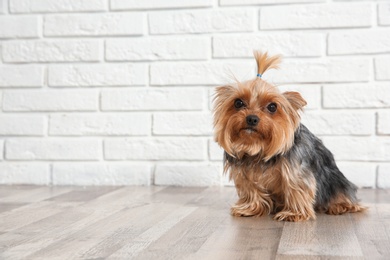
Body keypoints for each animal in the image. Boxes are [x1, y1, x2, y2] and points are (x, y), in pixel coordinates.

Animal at [213, 51, 366, 221]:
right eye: (238, 103)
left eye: (272, 107)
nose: (252, 118)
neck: (258, 149)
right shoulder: (244, 172)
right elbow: (251, 188)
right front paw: (250, 208)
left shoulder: (296, 171)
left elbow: (296, 188)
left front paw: (294, 213)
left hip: (335, 181)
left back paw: (340, 205)